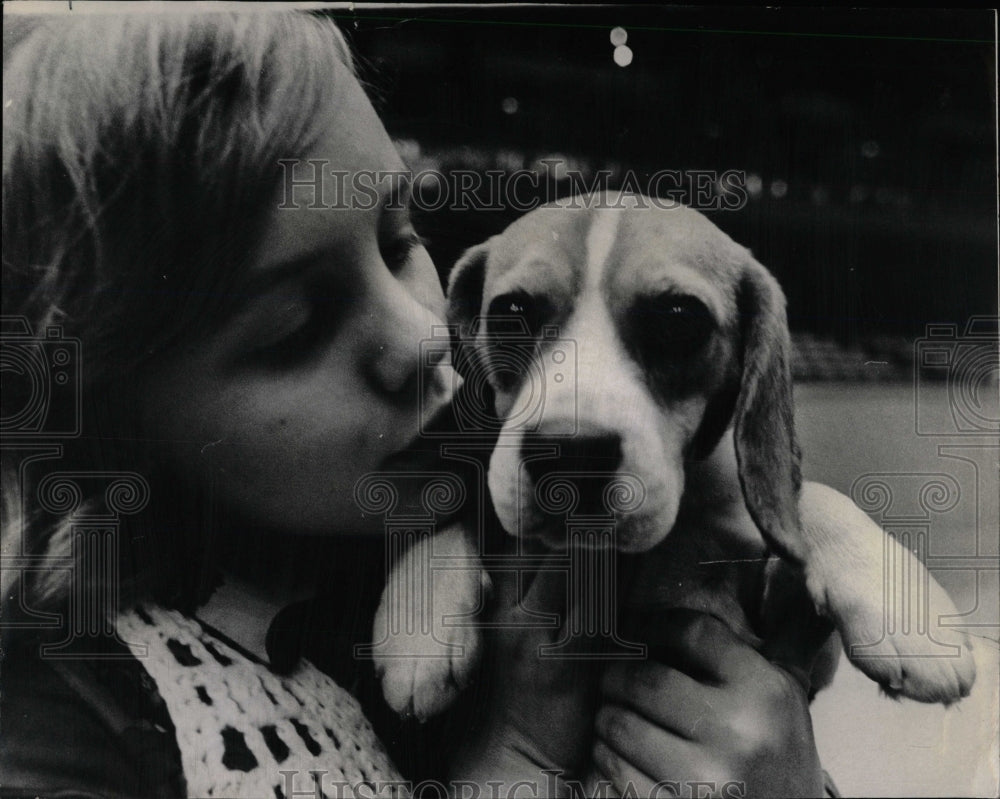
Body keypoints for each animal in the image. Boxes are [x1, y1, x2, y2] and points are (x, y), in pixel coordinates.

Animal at [372, 195, 972, 724]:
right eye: (511, 313)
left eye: (680, 319)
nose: (571, 454)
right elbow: (461, 506)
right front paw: (419, 619)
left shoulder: (803, 655)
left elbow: (812, 499)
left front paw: (900, 602)